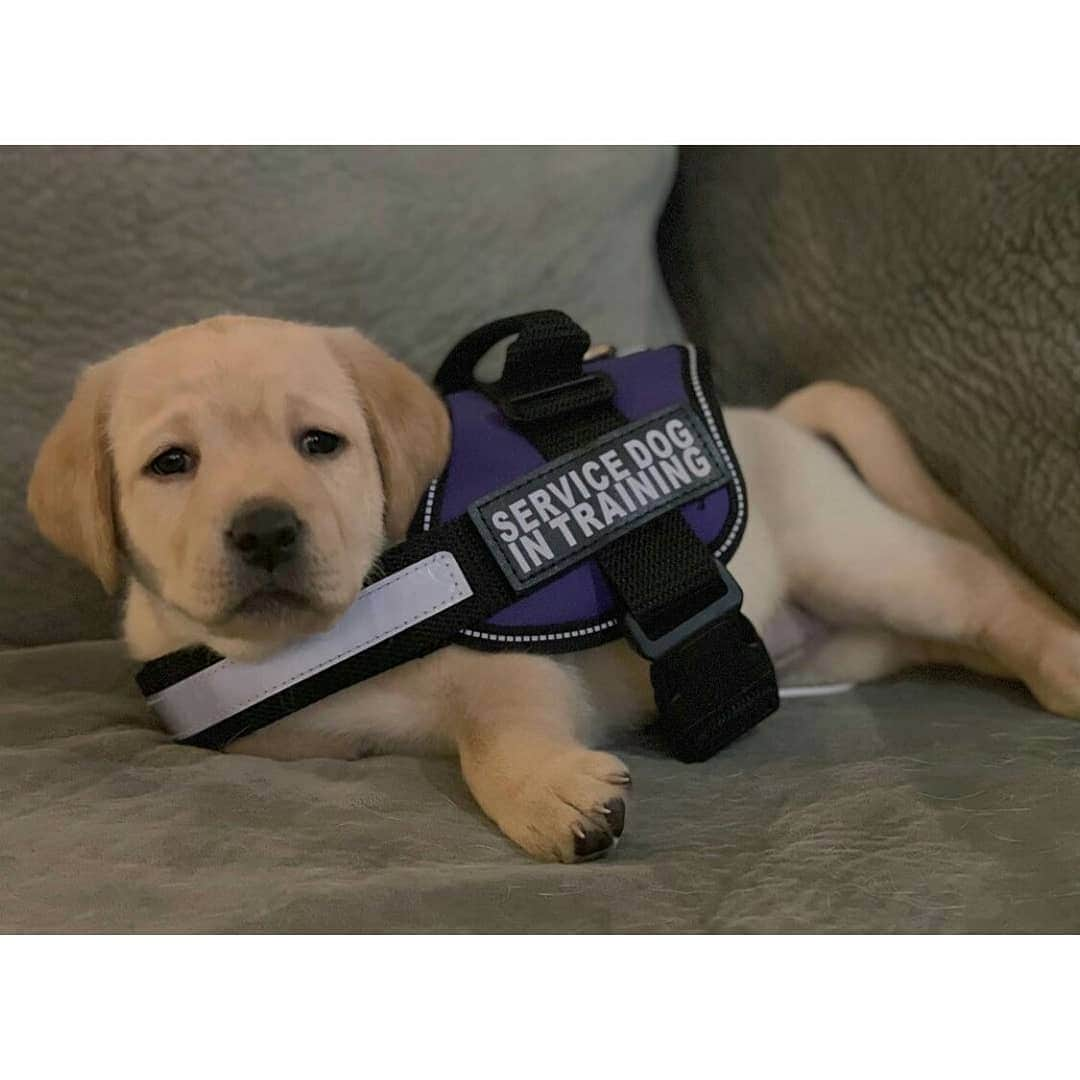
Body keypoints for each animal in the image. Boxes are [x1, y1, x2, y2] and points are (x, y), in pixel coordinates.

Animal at [25, 315, 1080, 859]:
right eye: (170, 464)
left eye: (321, 443)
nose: (266, 529)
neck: (317, 647)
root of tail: (769, 417)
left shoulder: (515, 670)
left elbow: (497, 734)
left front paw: (550, 797)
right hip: (858, 630)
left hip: (856, 555)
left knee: (984, 586)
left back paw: (1062, 658)